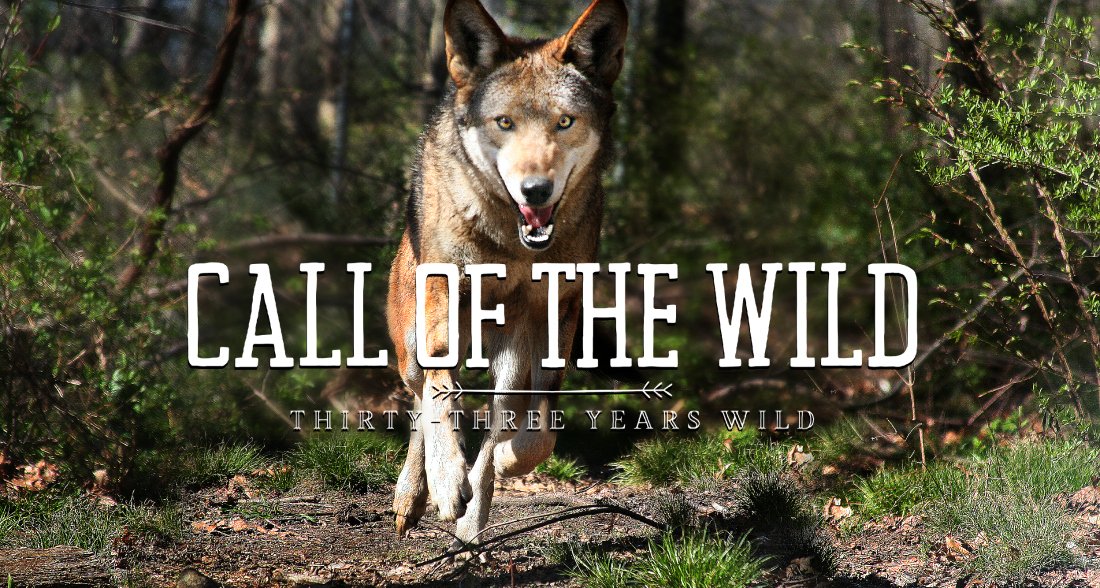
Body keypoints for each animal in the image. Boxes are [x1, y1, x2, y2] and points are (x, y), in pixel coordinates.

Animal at [386, 0, 629, 550]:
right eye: (504, 122)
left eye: (565, 122)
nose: (535, 190)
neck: (510, 245)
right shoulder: (441, 297)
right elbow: (438, 396)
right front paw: (445, 480)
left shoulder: (558, 309)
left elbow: (539, 431)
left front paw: (496, 467)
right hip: (410, 342)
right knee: (420, 397)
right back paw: (414, 494)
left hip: (513, 356)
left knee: (499, 419)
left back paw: (470, 526)